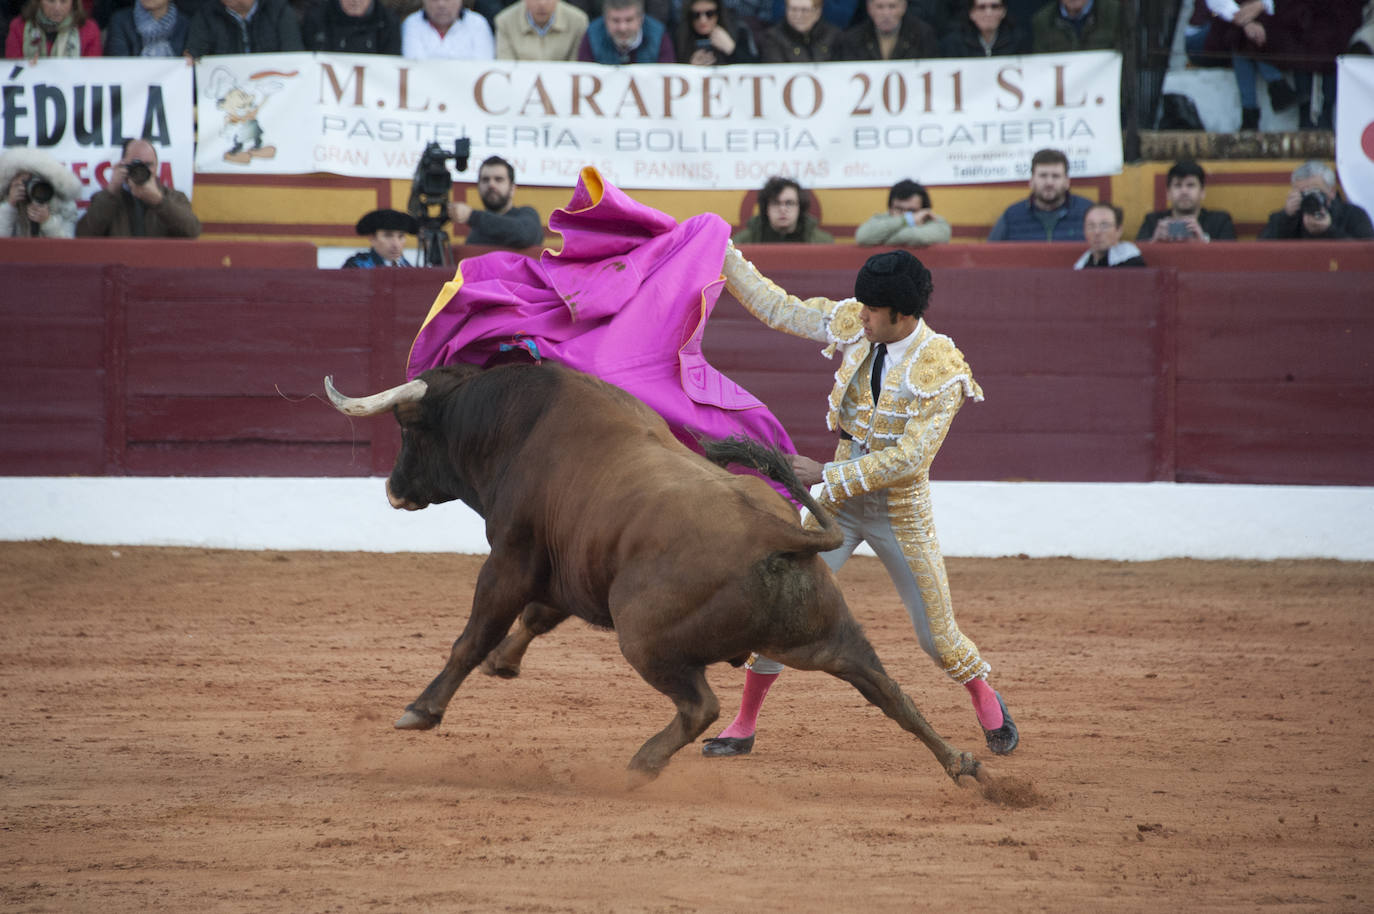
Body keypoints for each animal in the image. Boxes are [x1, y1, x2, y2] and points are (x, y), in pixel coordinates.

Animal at [325, 362, 983, 786]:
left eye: (409, 427)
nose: (393, 489)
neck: (516, 425)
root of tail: (784, 535)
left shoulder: (511, 557)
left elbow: (473, 636)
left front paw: (420, 710)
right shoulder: (571, 569)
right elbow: (538, 616)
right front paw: (504, 664)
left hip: (643, 638)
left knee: (700, 706)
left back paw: (643, 762)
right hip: (829, 640)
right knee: (891, 693)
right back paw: (966, 767)